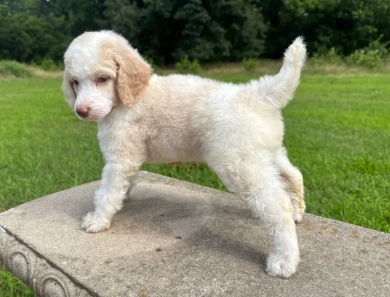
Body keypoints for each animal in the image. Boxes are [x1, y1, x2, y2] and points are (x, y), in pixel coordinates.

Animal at [62, 30, 308, 278]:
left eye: (102, 79)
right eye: (75, 82)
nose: (81, 111)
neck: (134, 96)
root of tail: (256, 94)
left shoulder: (120, 157)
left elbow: (107, 192)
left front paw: (97, 220)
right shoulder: (129, 155)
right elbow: (122, 184)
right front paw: (125, 195)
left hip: (239, 165)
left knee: (278, 205)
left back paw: (284, 259)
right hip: (266, 154)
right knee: (293, 176)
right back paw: (298, 212)